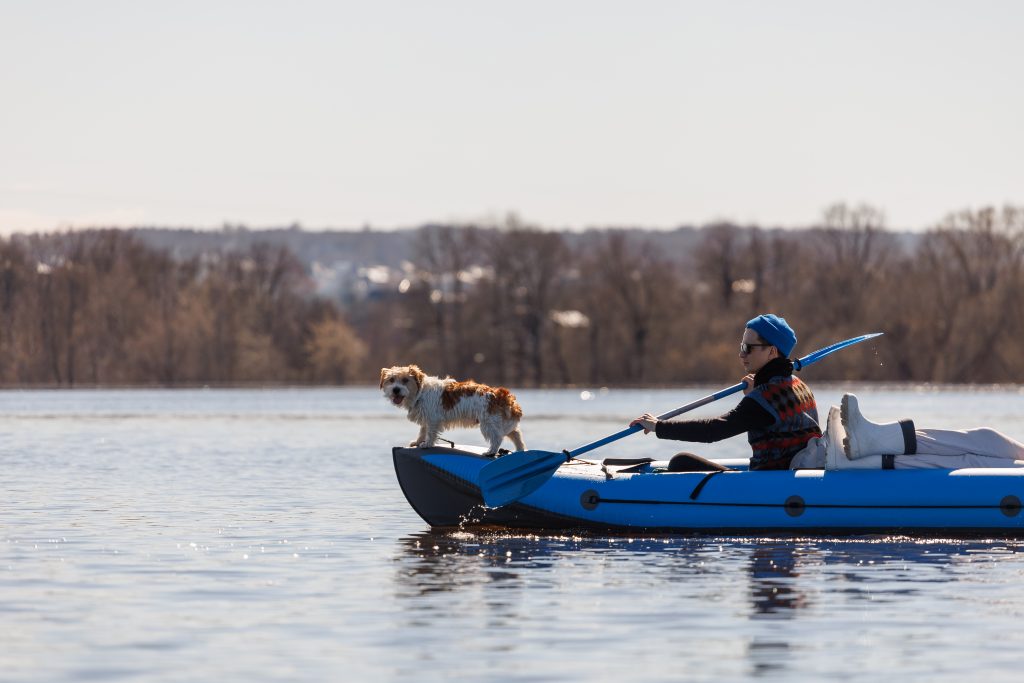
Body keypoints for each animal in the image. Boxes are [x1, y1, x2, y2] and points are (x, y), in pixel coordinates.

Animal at [382, 362, 528, 454]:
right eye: (391, 380)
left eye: (405, 380)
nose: (396, 390)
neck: (420, 391)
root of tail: (502, 395)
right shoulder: (427, 418)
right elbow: (423, 430)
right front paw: (418, 442)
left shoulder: (433, 419)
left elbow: (430, 433)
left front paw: (427, 444)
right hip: (502, 423)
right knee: (516, 434)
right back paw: (520, 450)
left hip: (489, 424)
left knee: (497, 438)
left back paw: (491, 451)